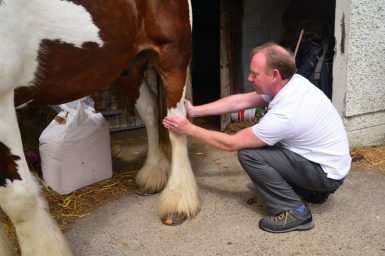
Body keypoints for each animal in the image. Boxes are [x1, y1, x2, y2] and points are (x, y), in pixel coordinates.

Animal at [0, 0, 198, 254]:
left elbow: (18, 197)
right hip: (129, 65)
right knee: (150, 111)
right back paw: (153, 175)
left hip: (172, 55)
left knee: (176, 124)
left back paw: (178, 202)